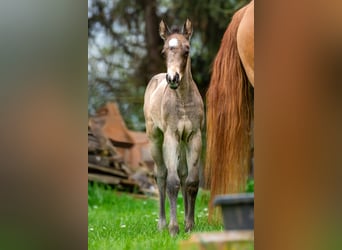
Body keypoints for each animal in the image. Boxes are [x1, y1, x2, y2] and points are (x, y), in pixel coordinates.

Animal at [144, 19, 204, 236]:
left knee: (184, 173)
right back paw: (162, 224)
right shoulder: (171, 136)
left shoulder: (194, 136)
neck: (183, 101)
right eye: (163, 52)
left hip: (183, 142)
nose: (173, 79)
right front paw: (173, 228)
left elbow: (191, 181)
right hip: (155, 138)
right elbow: (172, 182)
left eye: (187, 50)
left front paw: (190, 225)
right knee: (161, 175)